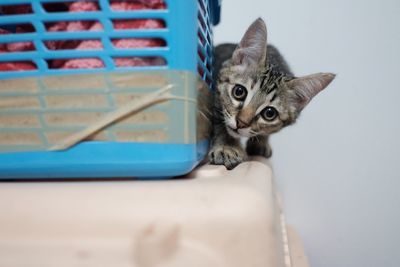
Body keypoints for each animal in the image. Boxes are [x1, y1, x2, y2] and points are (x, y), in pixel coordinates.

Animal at [208, 18, 336, 170]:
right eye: (239, 92)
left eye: (269, 113)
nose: (241, 123)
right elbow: (220, 123)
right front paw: (226, 148)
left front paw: (260, 142)